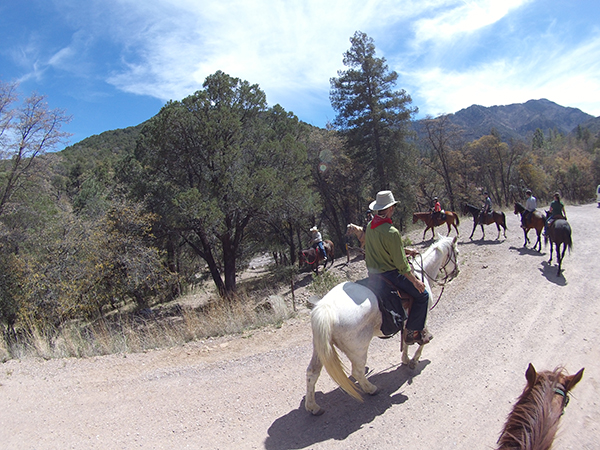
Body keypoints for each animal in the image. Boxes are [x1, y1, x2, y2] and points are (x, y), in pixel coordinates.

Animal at [304, 236, 460, 414]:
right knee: (357, 372)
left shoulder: (407, 322)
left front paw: (405, 359)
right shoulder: (422, 315)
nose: (456, 271)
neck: (421, 274)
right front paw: (413, 361)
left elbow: (406, 340)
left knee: (312, 373)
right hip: (358, 349)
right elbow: (420, 339)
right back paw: (371, 389)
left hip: (320, 348)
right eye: (456, 252)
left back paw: (313, 407)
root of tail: (326, 309)